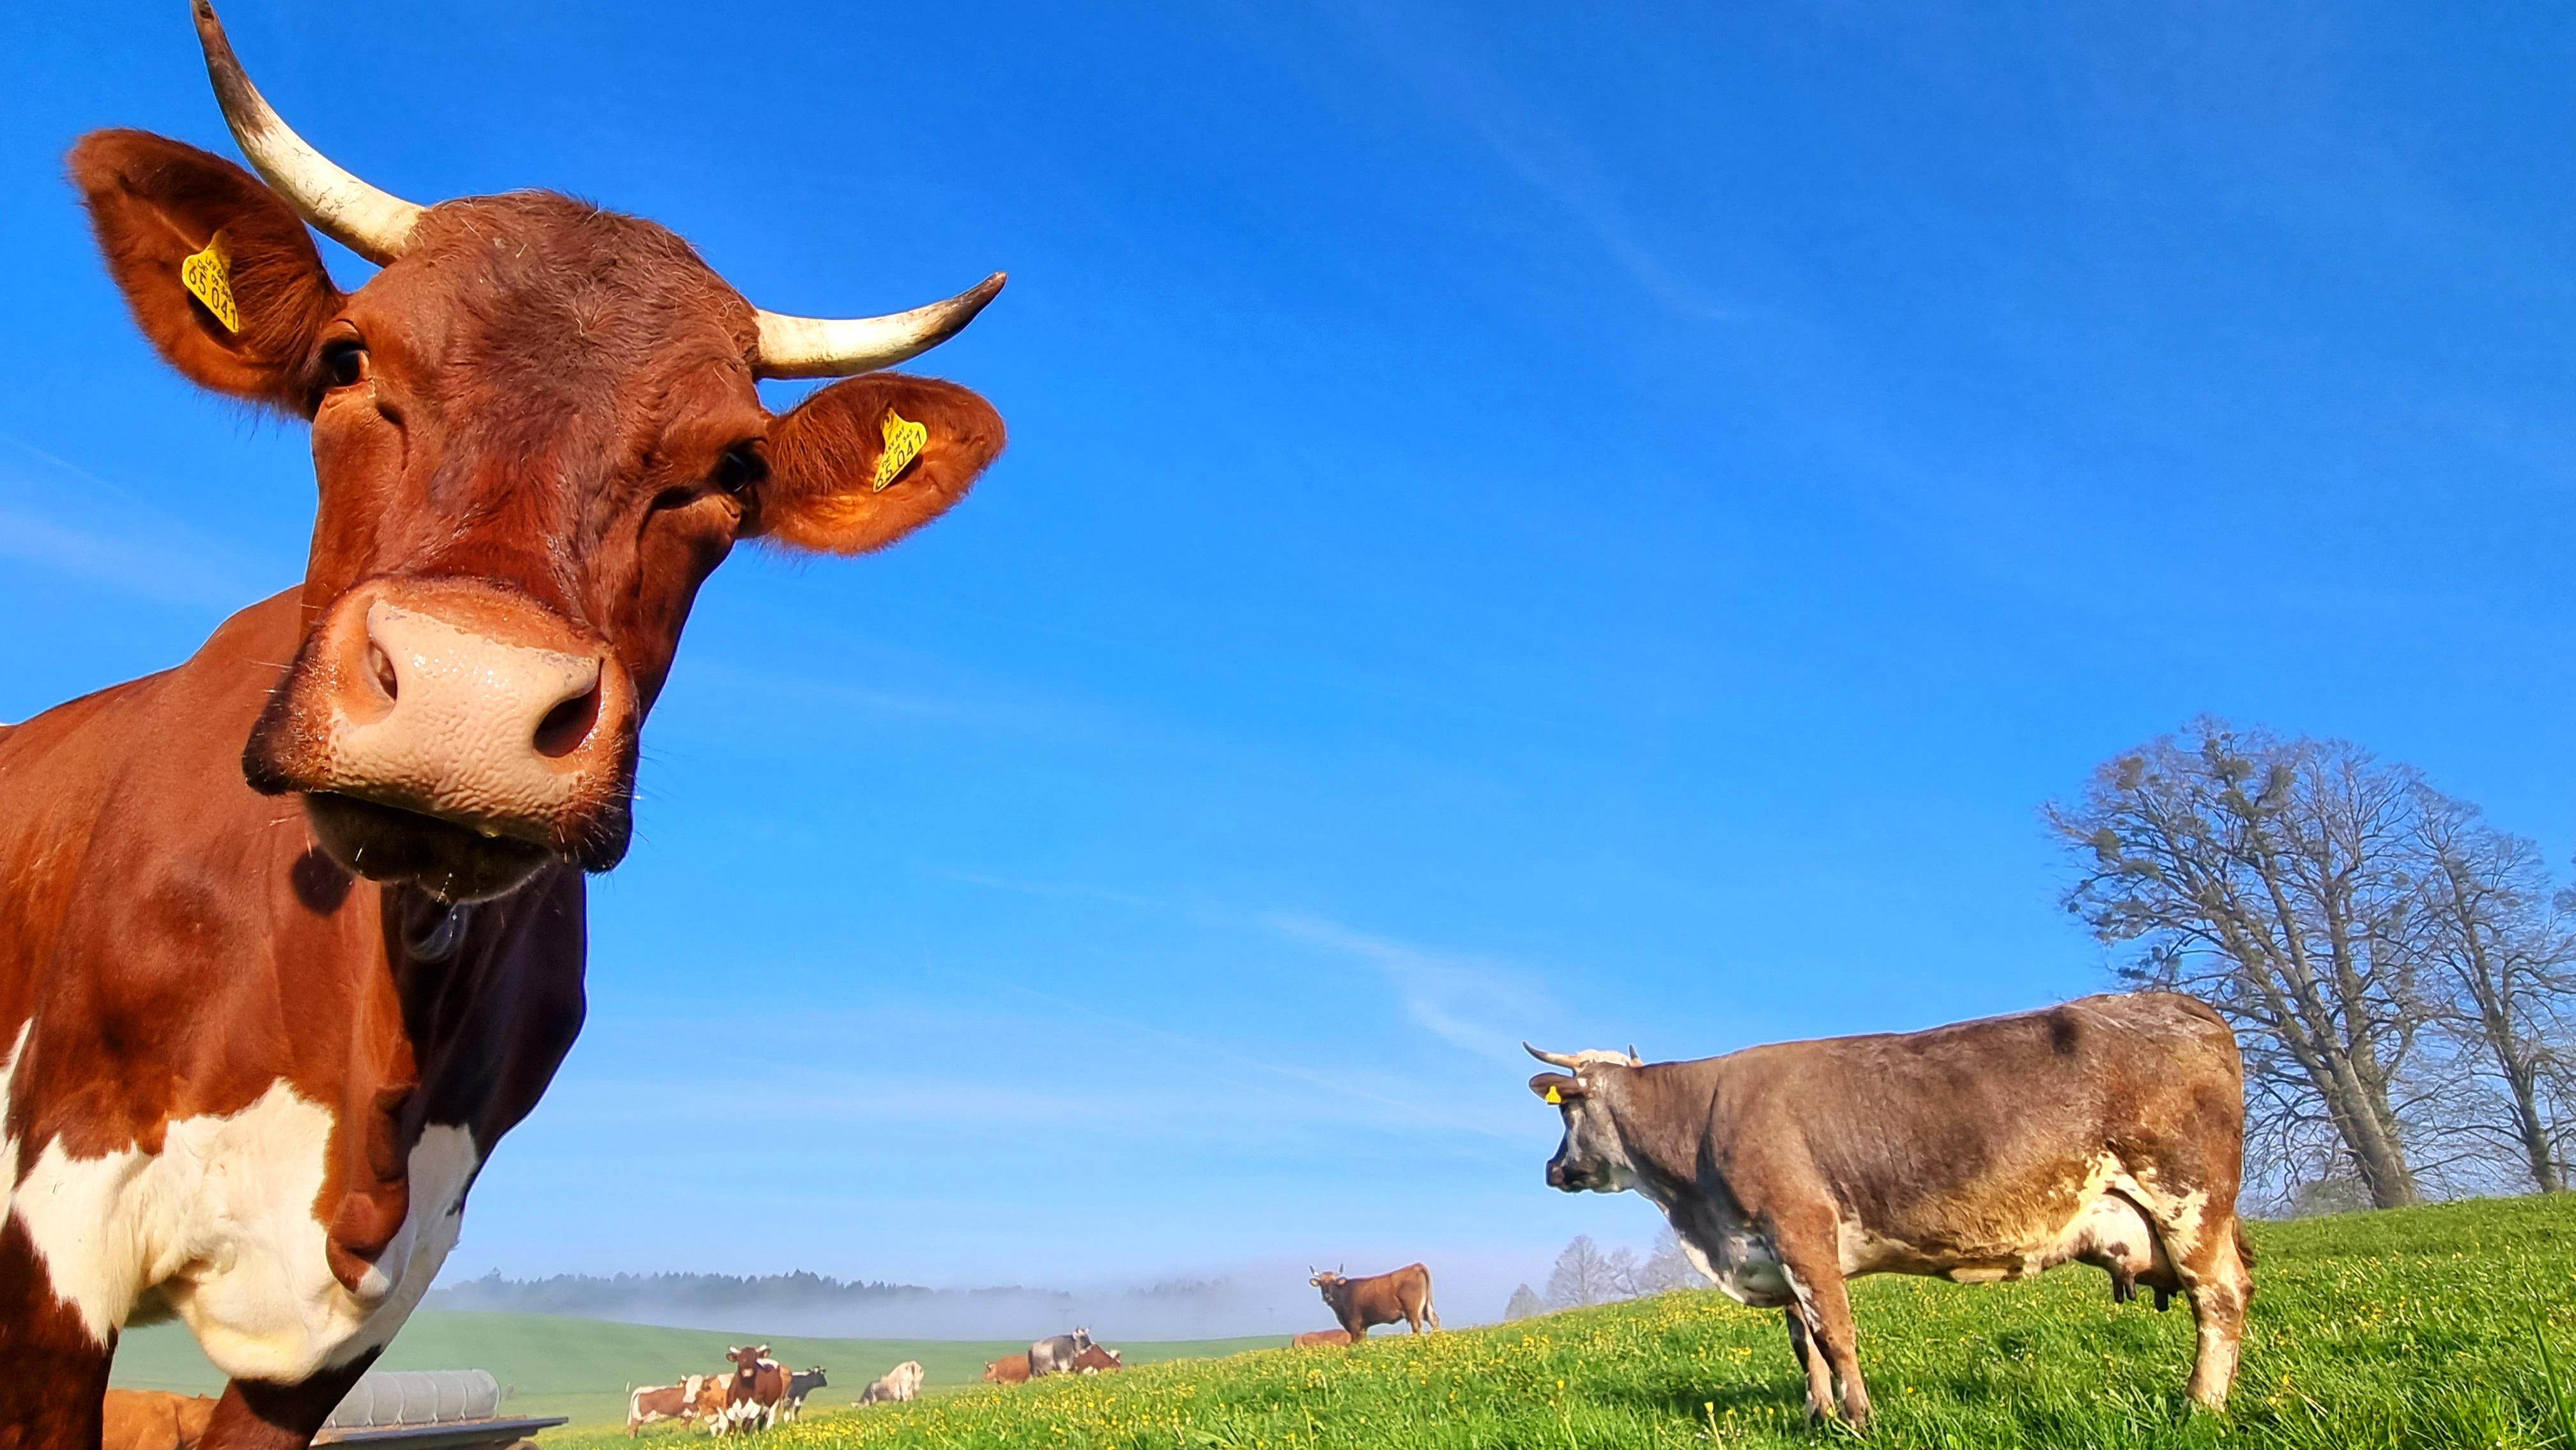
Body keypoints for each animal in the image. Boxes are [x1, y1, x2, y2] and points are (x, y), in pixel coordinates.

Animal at [1308, 1262, 1432, 1339]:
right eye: (1321, 1283)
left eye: (1333, 1282)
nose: (1327, 1297)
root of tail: (1415, 1266)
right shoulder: (1364, 1326)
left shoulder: (1354, 1324)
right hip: (1426, 1307)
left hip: (1413, 1312)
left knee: (1418, 1329)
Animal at [1524, 994, 2257, 1431]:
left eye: (1567, 1112)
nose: (1554, 1170)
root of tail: (2178, 1001)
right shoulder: (1775, 1248)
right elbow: (1804, 1342)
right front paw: (1819, 1416)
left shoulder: (1802, 1227)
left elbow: (1837, 1335)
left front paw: (1859, 1419)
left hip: (2189, 1198)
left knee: (2220, 1297)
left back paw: (2199, 1406)